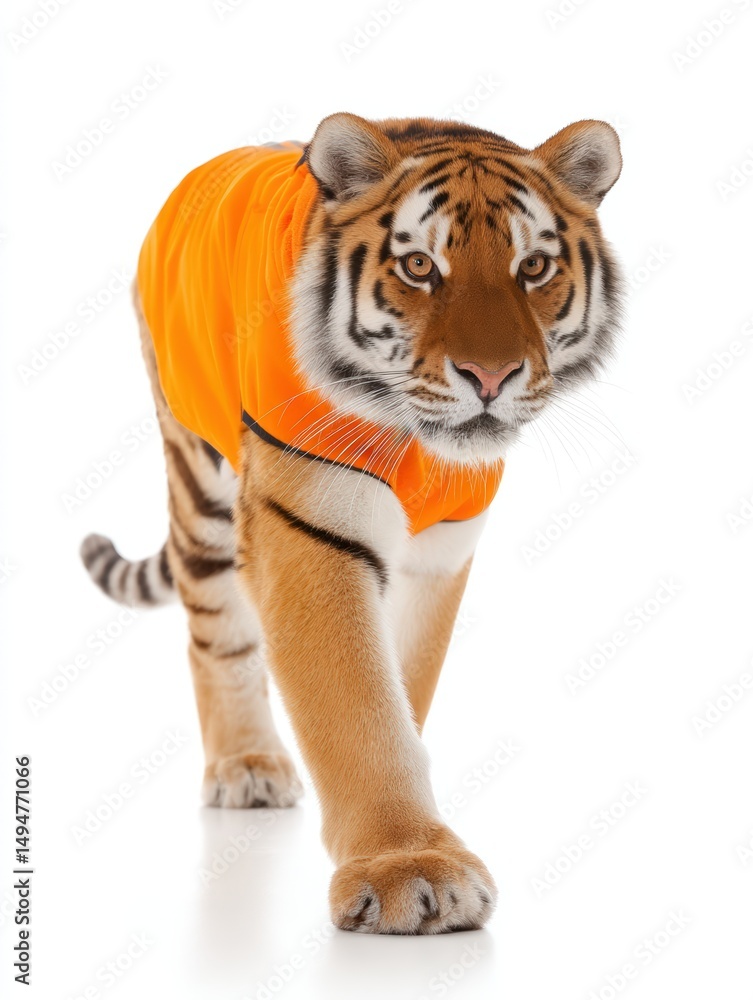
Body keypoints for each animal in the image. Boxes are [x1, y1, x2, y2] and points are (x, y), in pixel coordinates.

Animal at [80, 113, 623, 935]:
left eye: (532, 266)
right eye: (419, 266)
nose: (490, 378)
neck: (423, 445)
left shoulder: (440, 553)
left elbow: (401, 687)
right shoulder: (309, 525)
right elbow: (356, 703)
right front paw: (409, 868)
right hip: (198, 474)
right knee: (214, 636)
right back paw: (246, 766)